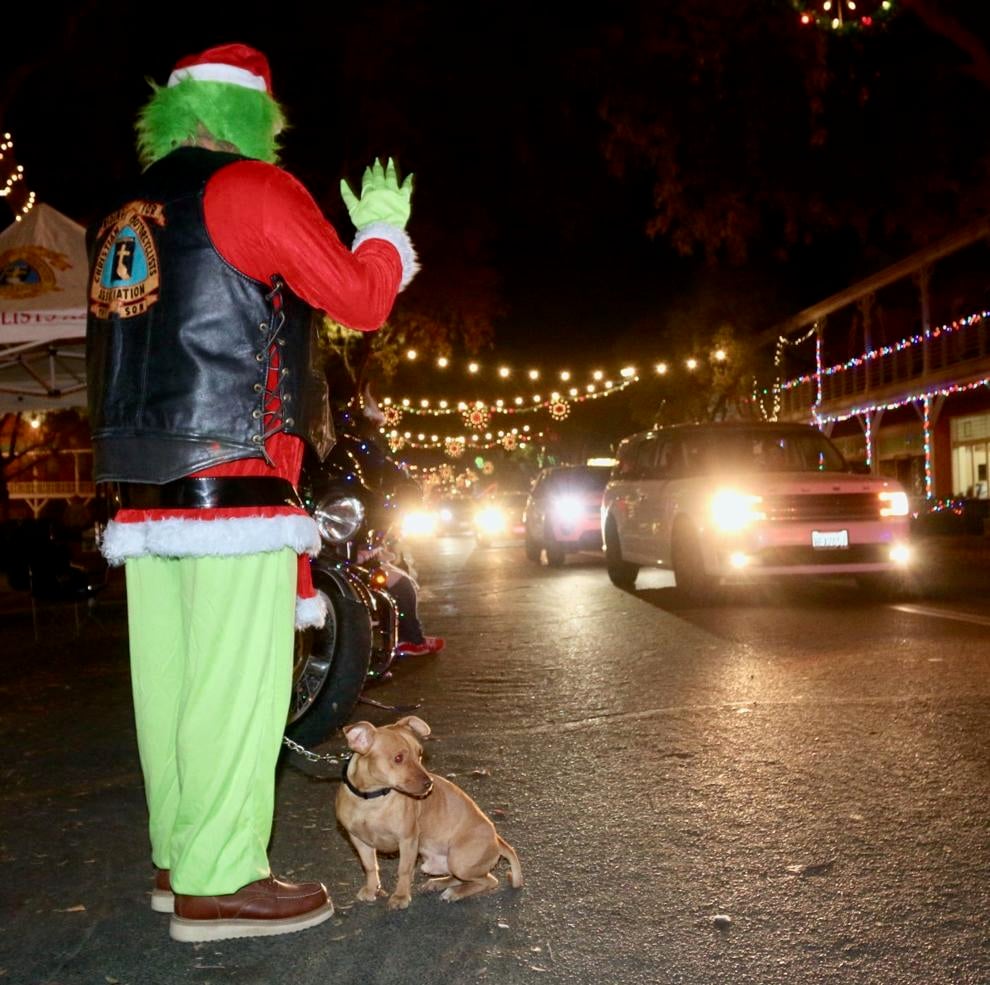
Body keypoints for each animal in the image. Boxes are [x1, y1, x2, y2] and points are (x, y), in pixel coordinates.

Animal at [336, 716, 524, 908]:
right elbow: (370, 866)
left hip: (459, 861)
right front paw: (372, 888)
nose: (429, 783)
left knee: (488, 880)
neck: (371, 799)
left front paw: (401, 896)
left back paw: (455, 892)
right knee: (464, 878)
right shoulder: (359, 840)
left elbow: (403, 870)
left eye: (419, 754)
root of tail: (497, 839)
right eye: (398, 758)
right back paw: (439, 883)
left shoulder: (408, 840)